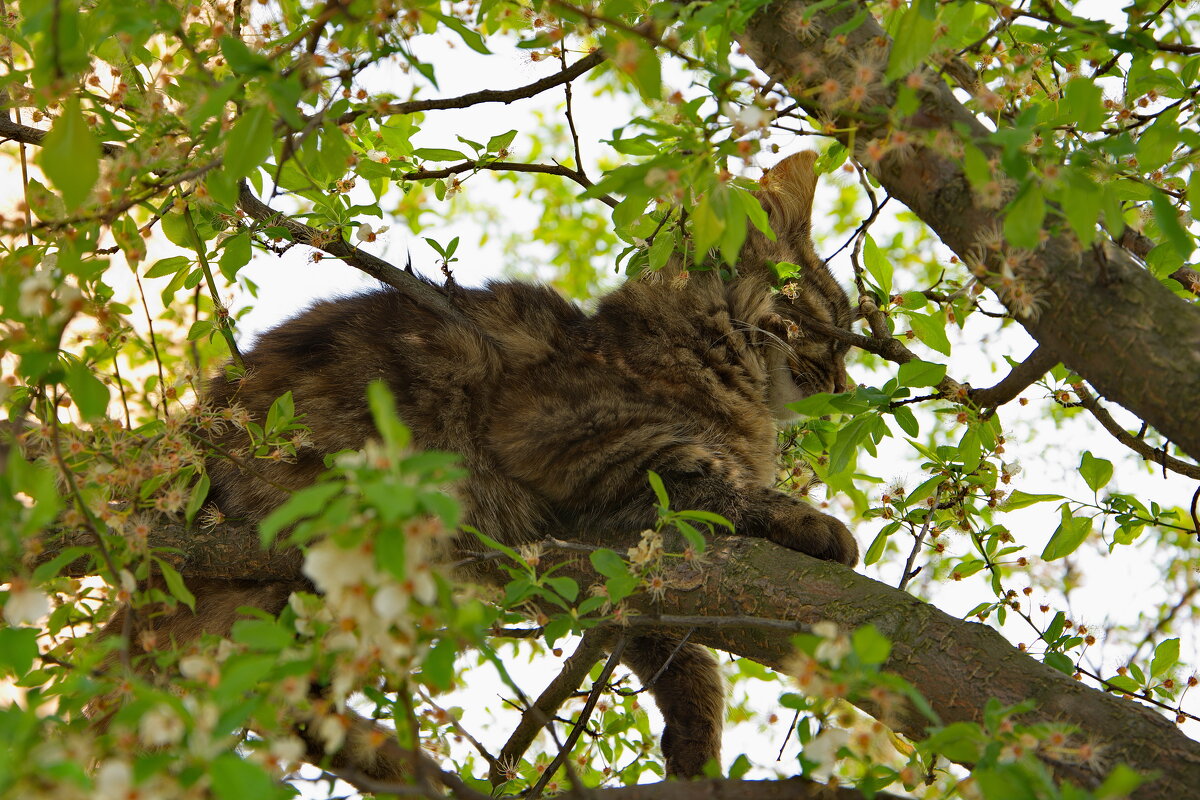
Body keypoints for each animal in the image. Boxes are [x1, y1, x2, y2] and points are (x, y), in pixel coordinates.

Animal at [121, 149, 859, 782]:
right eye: (834, 327)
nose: (847, 385)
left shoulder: (602, 566)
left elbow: (678, 653)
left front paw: (695, 748)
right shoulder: (566, 441)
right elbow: (717, 486)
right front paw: (813, 524)